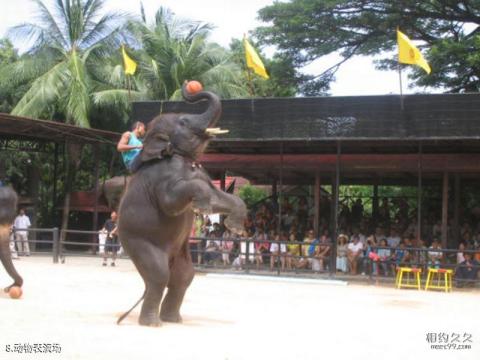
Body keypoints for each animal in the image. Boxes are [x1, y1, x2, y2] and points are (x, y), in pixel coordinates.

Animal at [114, 82, 246, 326]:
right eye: (183, 121)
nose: (188, 86)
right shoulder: (161, 179)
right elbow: (172, 202)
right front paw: (201, 207)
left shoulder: (201, 172)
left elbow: (219, 196)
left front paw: (235, 227)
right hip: (135, 241)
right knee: (159, 275)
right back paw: (153, 324)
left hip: (180, 251)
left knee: (183, 277)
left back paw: (173, 320)